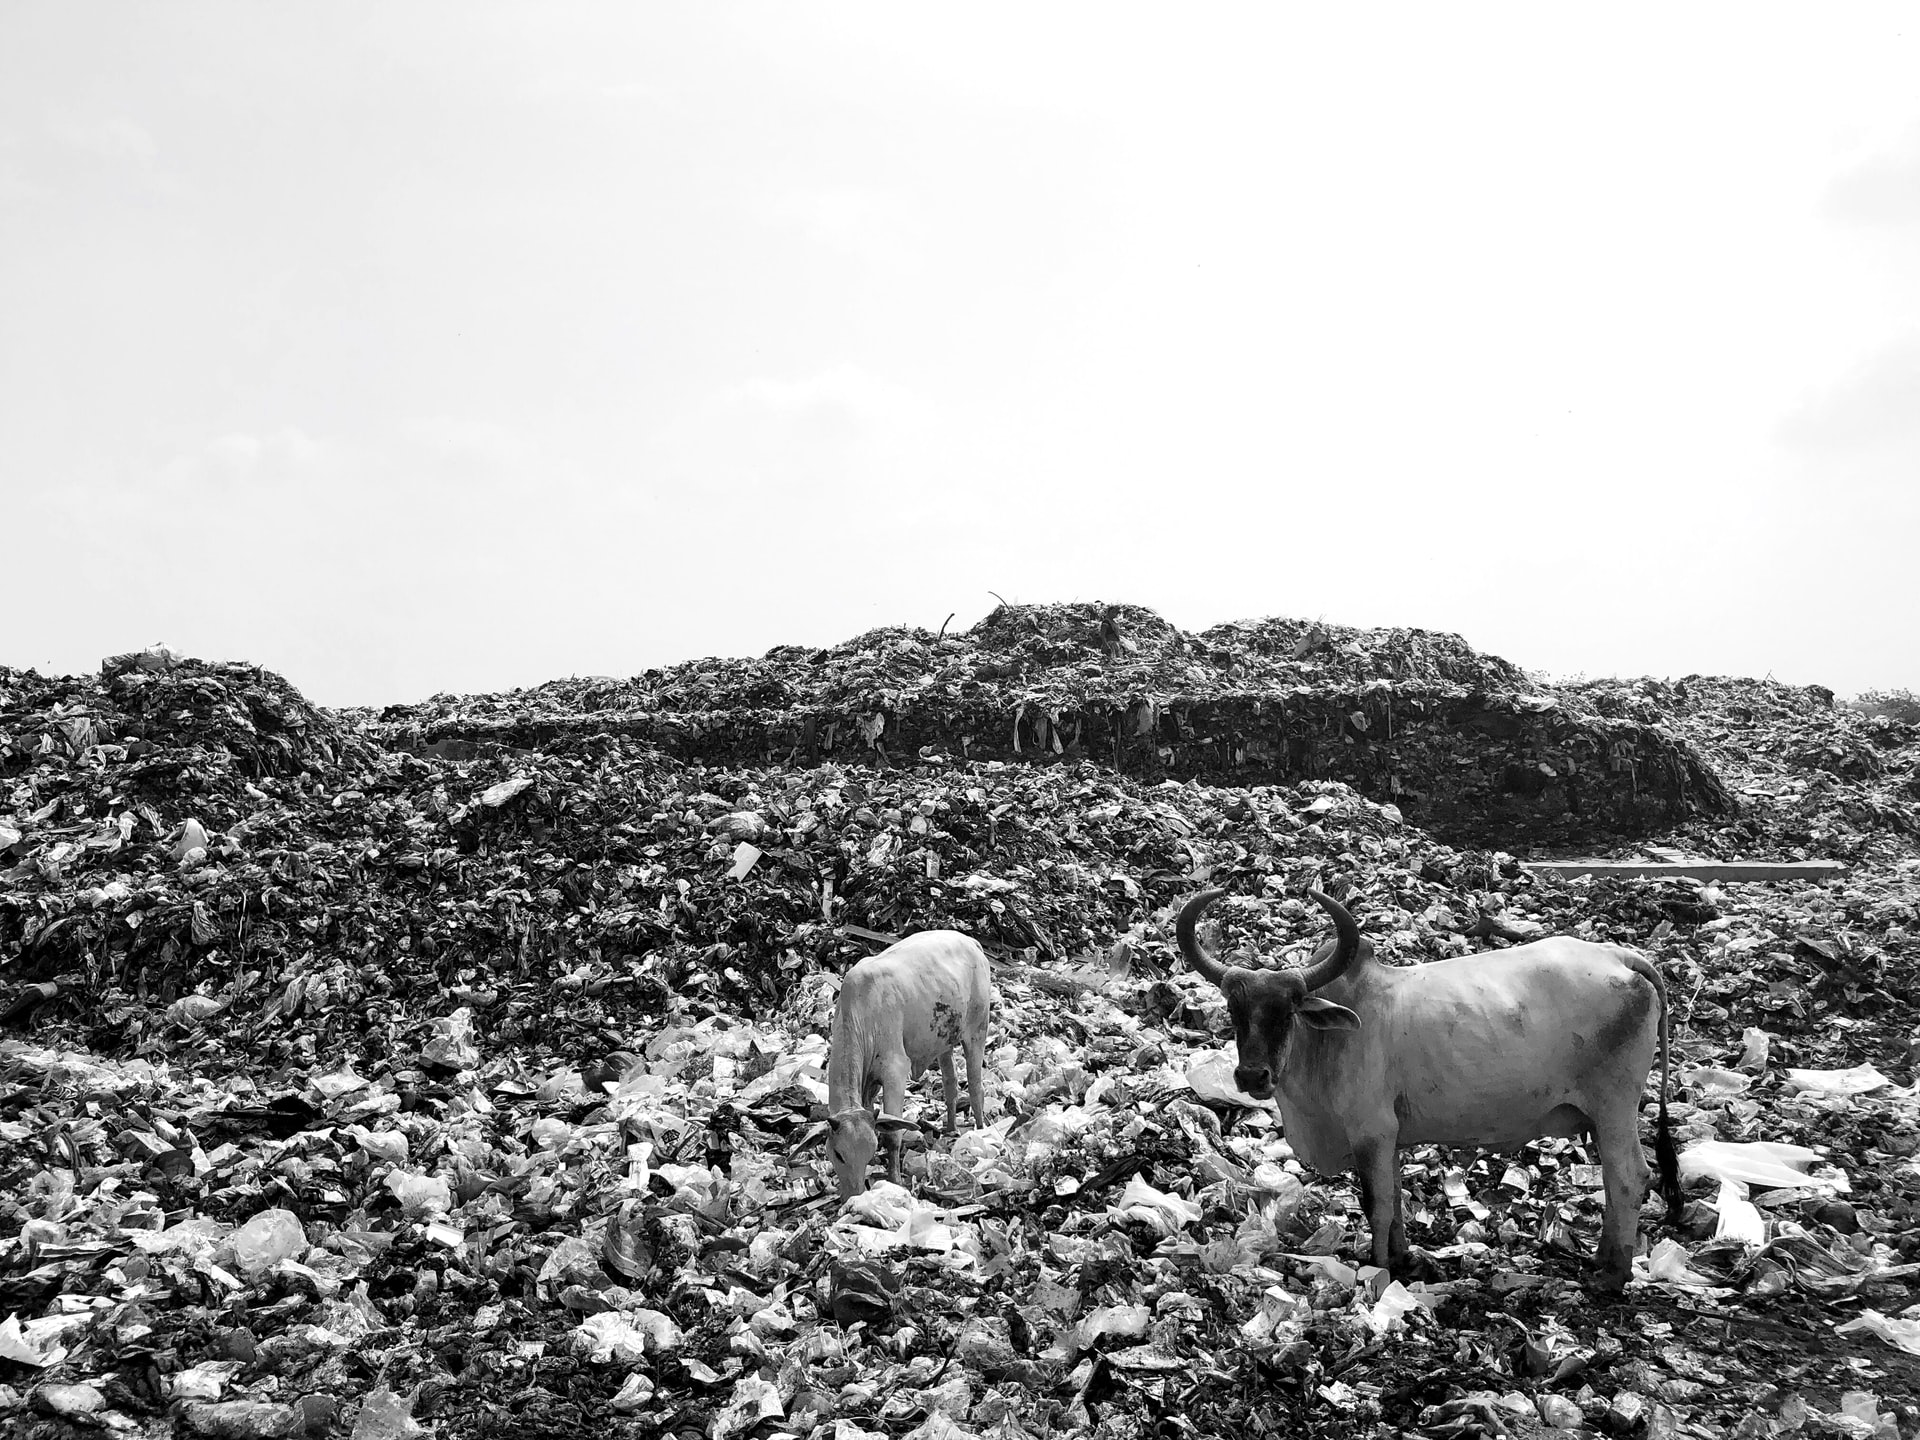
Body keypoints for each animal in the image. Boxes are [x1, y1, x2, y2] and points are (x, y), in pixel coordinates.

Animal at [817, 929, 990, 1198]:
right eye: (838, 1154)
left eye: (867, 1153)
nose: (855, 1195)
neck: (859, 1014)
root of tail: (972, 942)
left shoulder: (895, 1071)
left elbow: (892, 1136)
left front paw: (894, 1180)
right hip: (944, 1041)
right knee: (950, 1084)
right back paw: (950, 1128)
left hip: (977, 1030)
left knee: (974, 1085)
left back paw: (981, 1130)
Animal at [1175, 887, 1689, 1290]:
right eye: (1236, 1011)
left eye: (1289, 1010)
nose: (1252, 1077)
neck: (1328, 1043)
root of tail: (1621, 957)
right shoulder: (1389, 1139)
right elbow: (1395, 1199)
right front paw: (1403, 1257)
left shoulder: (1371, 1133)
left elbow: (1378, 1203)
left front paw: (1380, 1268)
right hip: (1604, 1118)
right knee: (1615, 1180)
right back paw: (1602, 1257)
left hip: (1615, 1107)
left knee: (1629, 1176)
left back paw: (1612, 1275)